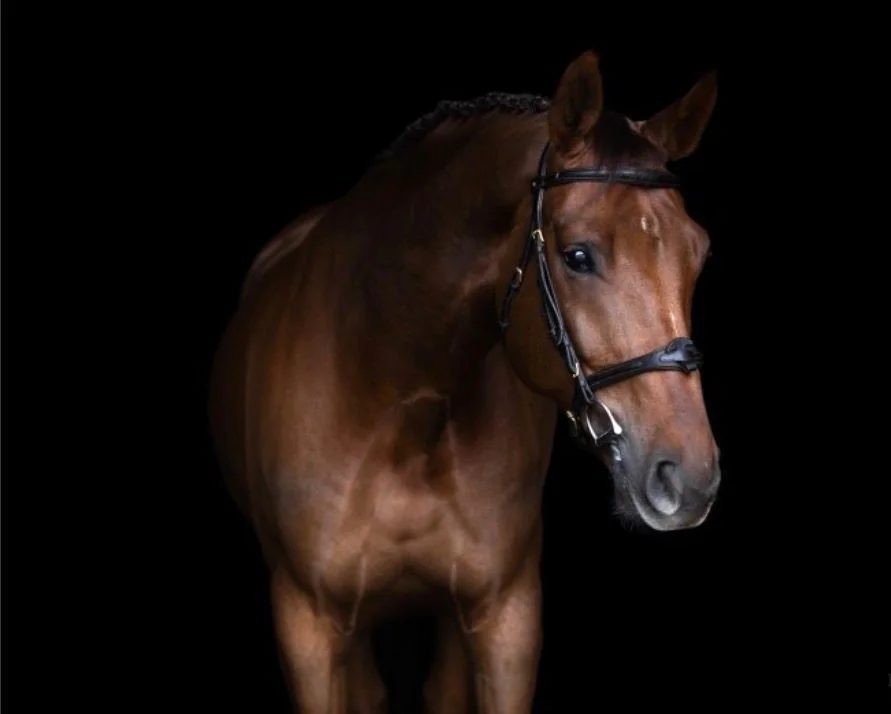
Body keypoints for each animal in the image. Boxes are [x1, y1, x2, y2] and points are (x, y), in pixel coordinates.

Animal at [208, 50, 721, 714]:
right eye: (578, 255)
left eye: (699, 253)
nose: (689, 477)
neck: (401, 403)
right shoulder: (308, 627)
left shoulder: (507, 616)